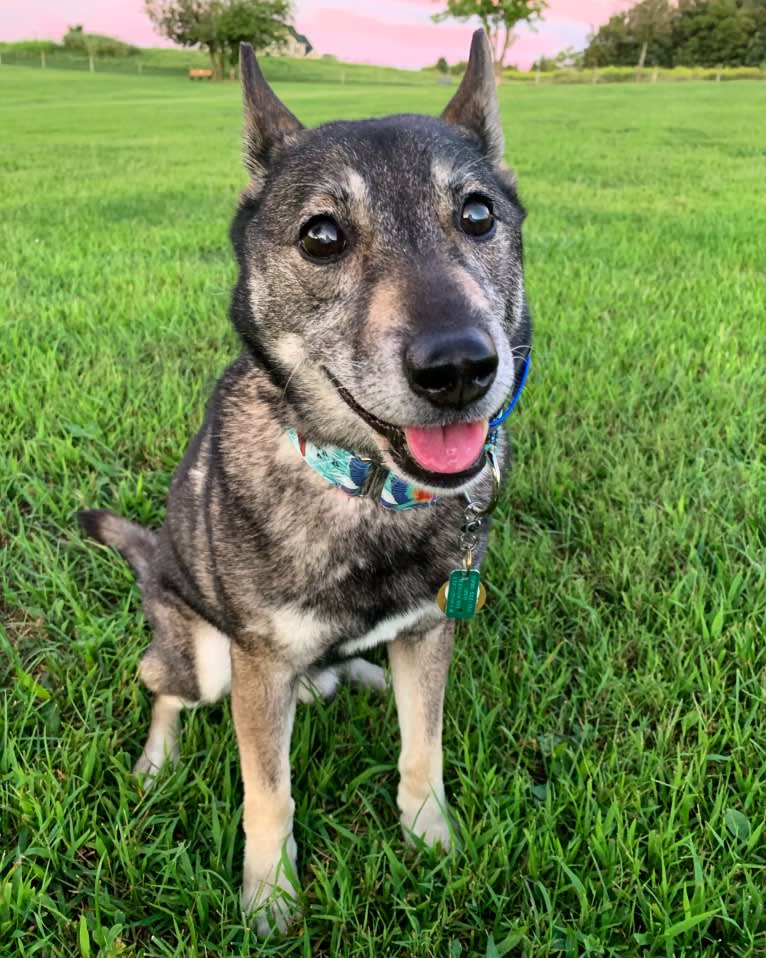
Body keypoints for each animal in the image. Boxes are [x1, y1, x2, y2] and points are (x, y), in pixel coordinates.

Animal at [79, 30, 536, 936]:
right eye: (322, 236)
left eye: (477, 215)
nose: (460, 367)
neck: (365, 489)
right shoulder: (256, 670)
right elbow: (269, 796)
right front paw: (269, 898)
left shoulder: (431, 630)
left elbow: (424, 747)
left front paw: (433, 840)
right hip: (204, 656)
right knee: (159, 683)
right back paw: (157, 759)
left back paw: (357, 675)